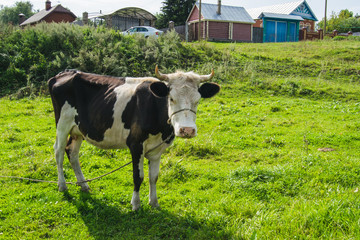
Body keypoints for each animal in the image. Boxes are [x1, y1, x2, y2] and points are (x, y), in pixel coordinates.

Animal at [47, 65, 219, 210]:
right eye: (171, 98)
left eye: (197, 100)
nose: (187, 130)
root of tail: (65, 73)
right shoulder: (135, 145)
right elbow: (138, 176)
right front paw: (135, 204)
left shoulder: (157, 149)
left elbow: (153, 177)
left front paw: (154, 203)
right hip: (62, 124)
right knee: (59, 152)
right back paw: (62, 185)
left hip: (78, 130)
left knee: (72, 153)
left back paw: (83, 185)